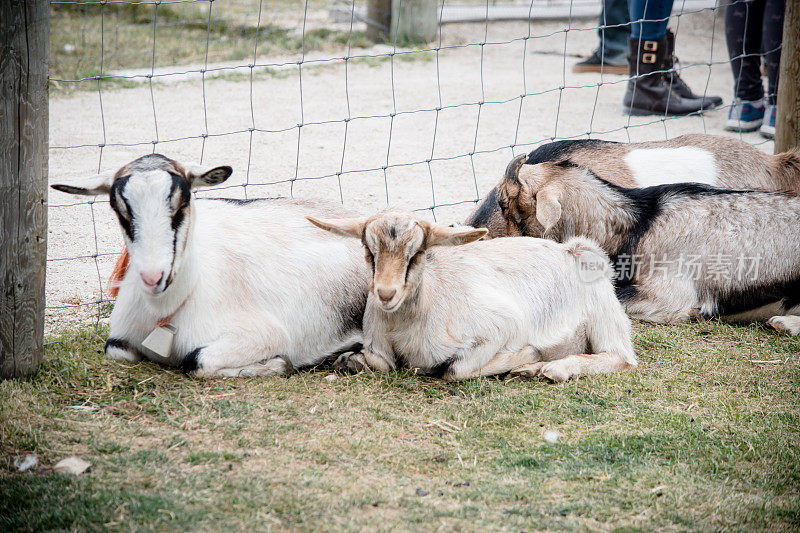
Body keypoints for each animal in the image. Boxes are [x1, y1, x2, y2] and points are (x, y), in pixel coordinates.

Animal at [53, 154, 368, 378]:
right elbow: (114, 349)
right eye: (120, 211)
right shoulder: (120, 339)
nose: (153, 277)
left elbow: (195, 360)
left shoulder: (265, 334)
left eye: (182, 204)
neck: (166, 311)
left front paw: (280, 364)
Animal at [306, 210, 636, 380]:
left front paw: (526, 355)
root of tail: (567, 248)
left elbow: (453, 369)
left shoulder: (502, 325)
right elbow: (376, 363)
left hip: (601, 302)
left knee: (621, 357)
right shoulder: (379, 347)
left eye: (418, 253)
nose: (386, 294)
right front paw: (349, 359)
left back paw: (550, 368)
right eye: (369, 251)